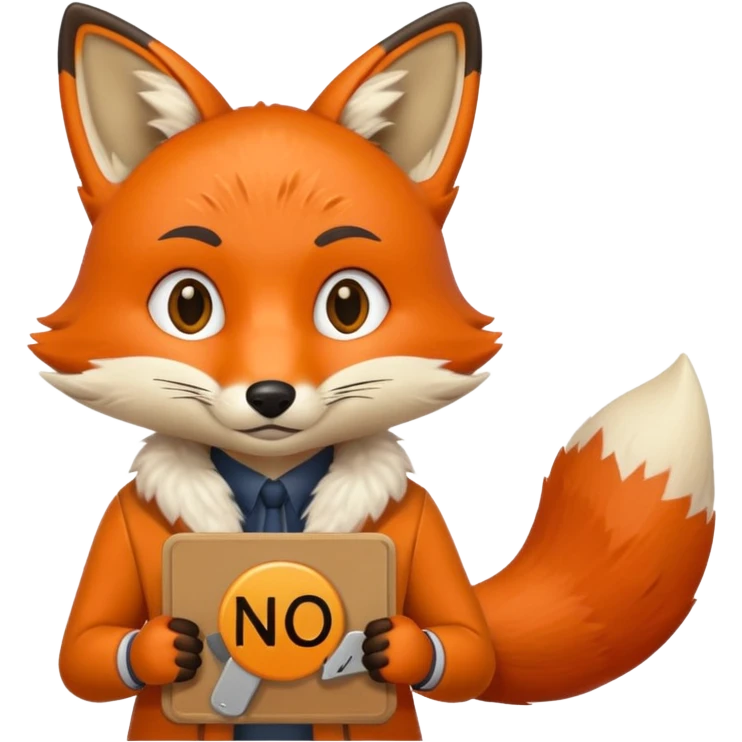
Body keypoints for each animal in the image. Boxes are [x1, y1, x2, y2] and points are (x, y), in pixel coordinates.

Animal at [38, 2, 717, 741]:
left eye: (348, 305)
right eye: (189, 305)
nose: (270, 394)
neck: (272, 480)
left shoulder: (423, 524)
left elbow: (468, 645)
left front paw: (400, 648)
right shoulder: (116, 526)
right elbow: (85, 650)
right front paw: (164, 647)